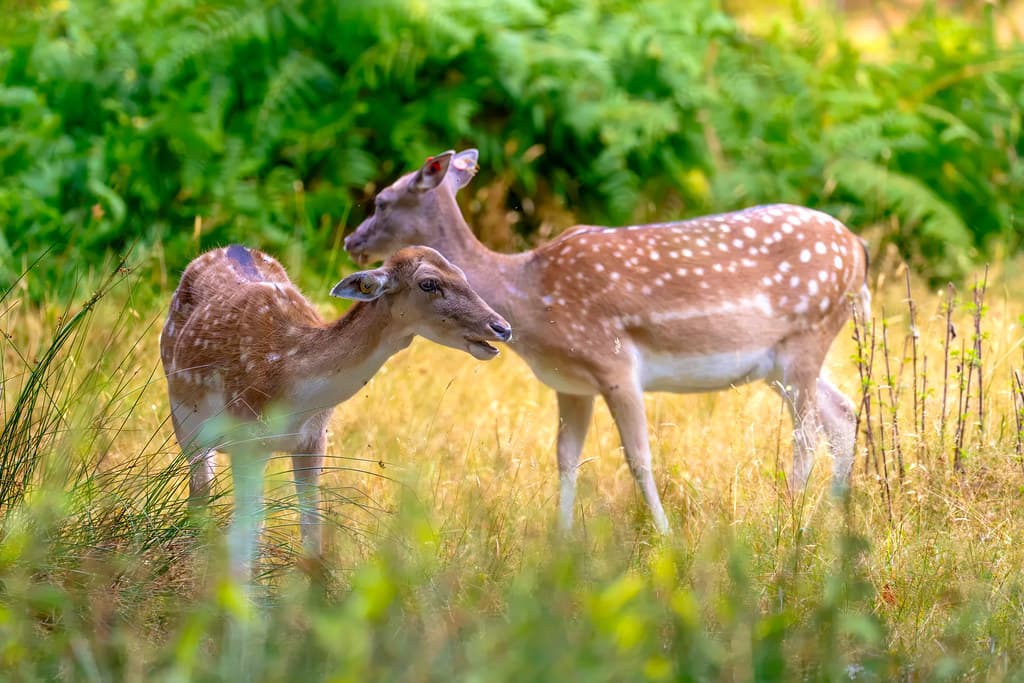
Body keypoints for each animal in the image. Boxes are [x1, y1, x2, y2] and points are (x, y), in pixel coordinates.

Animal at [159, 244, 511, 576]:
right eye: (429, 283)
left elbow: (311, 533)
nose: (502, 327)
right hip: (185, 421)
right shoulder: (247, 439)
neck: (289, 381)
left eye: (462, 274)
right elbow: (242, 536)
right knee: (200, 498)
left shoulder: (314, 438)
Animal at [344, 149, 871, 534]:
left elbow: (638, 458)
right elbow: (565, 459)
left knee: (807, 433)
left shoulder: (614, 362)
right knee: (842, 413)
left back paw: (791, 519)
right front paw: (562, 540)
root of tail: (859, 250)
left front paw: (664, 536)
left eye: (382, 202)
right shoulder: (570, 383)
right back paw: (836, 517)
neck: (528, 291)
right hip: (777, 363)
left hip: (808, 334)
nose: (351, 241)